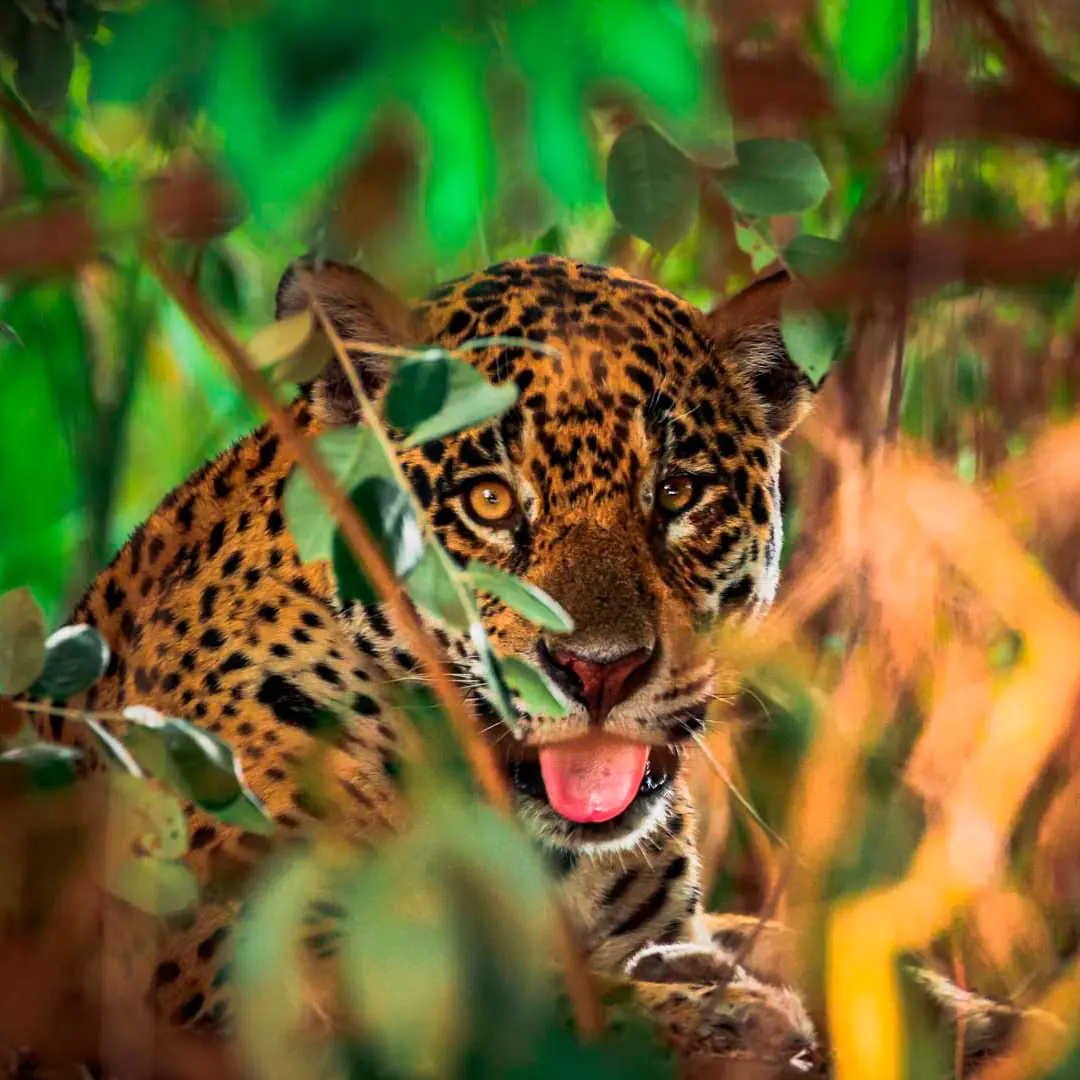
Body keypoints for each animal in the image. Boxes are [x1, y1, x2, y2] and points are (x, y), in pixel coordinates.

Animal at [8, 254, 1028, 1078]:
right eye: (491, 501)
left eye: (677, 493)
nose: (599, 669)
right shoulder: (233, 951)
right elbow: (519, 1003)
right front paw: (726, 1017)